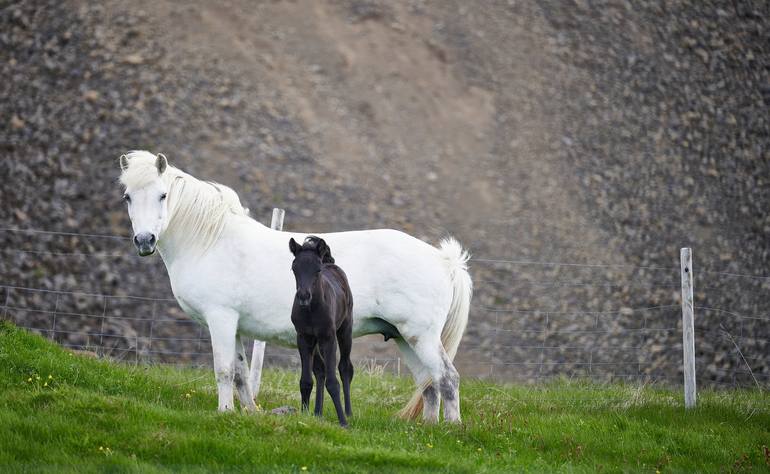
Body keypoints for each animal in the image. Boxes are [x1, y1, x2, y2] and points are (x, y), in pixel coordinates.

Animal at [118, 150, 472, 420]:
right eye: (128, 197)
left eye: (163, 195)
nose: (145, 240)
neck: (211, 240)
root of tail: (443, 260)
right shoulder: (235, 327)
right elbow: (241, 373)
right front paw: (250, 413)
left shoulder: (220, 319)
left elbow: (223, 370)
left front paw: (224, 412)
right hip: (403, 337)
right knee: (429, 384)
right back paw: (426, 428)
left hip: (420, 336)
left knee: (447, 378)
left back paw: (451, 430)